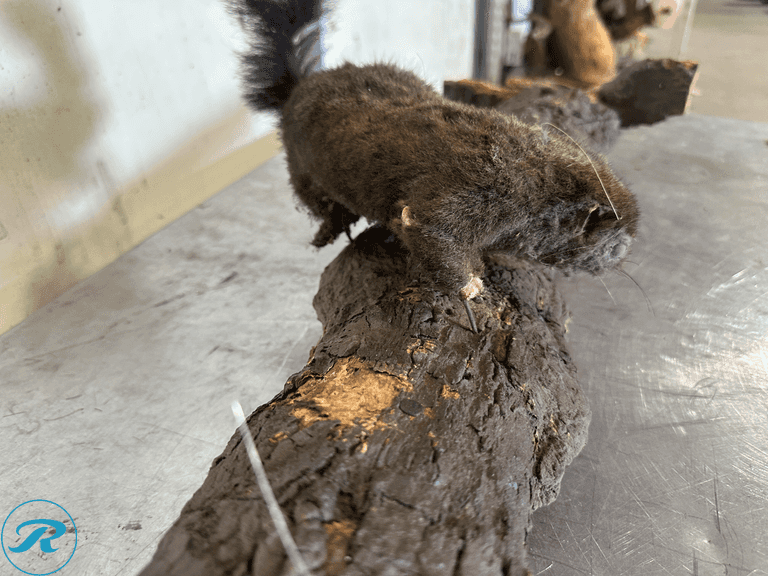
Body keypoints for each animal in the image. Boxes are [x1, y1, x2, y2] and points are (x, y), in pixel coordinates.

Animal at [230, 0, 640, 330]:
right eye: (614, 247)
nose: (619, 262)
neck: (542, 169)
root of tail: (303, 83)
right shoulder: (490, 193)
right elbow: (427, 226)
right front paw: (469, 289)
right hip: (300, 164)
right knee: (315, 199)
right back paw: (330, 229)